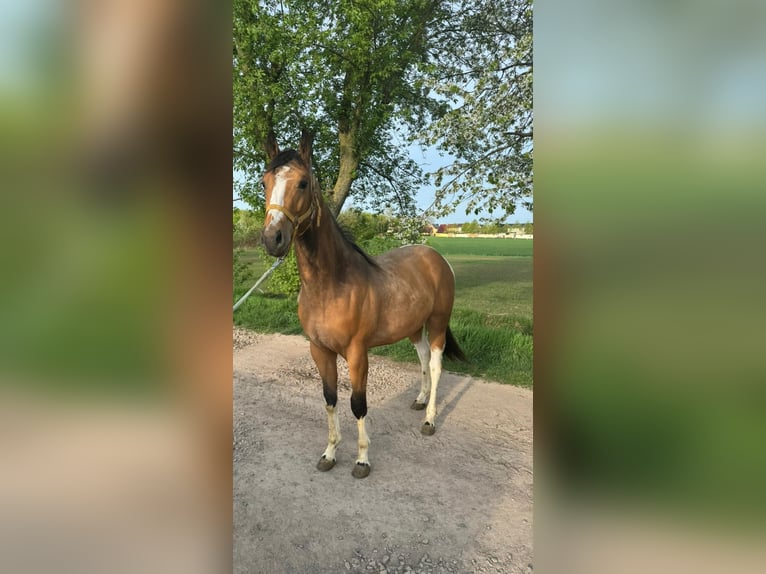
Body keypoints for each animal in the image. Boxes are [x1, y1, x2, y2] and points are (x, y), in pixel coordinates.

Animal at [260, 133, 464, 480]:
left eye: (302, 183)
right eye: (265, 182)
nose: (273, 238)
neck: (331, 286)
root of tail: (436, 258)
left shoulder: (357, 353)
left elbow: (358, 404)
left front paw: (362, 460)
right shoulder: (319, 350)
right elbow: (330, 399)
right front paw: (329, 453)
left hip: (437, 322)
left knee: (436, 366)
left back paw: (429, 419)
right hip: (413, 327)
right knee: (423, 357)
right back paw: (419, 400)